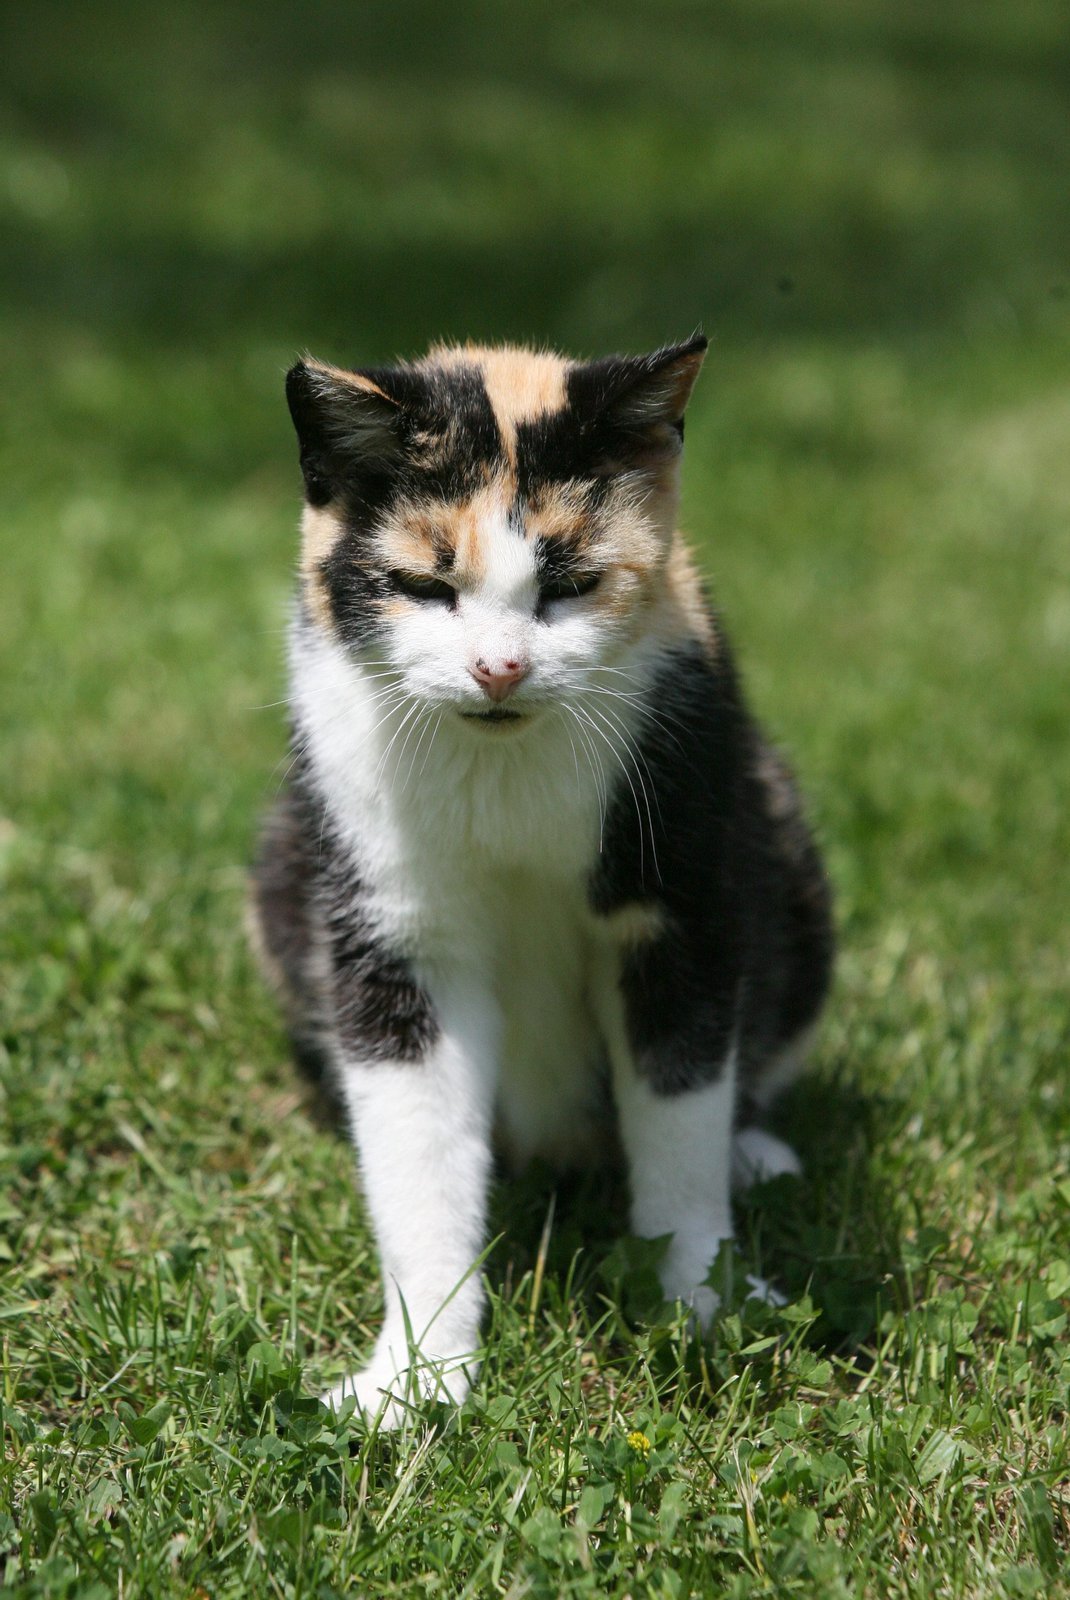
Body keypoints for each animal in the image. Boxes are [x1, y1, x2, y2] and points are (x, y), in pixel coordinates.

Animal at [251, 334, 831, 1427]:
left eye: (570, 582)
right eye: (423, 585)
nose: (499, 668)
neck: (502, 771)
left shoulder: (680, 904)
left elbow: (680, 1111)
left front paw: (702, 1302)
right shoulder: (391, 933)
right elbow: (415, 1154)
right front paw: (416, 1378)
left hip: (781, 847)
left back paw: (755, 1155)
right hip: (282, 867)